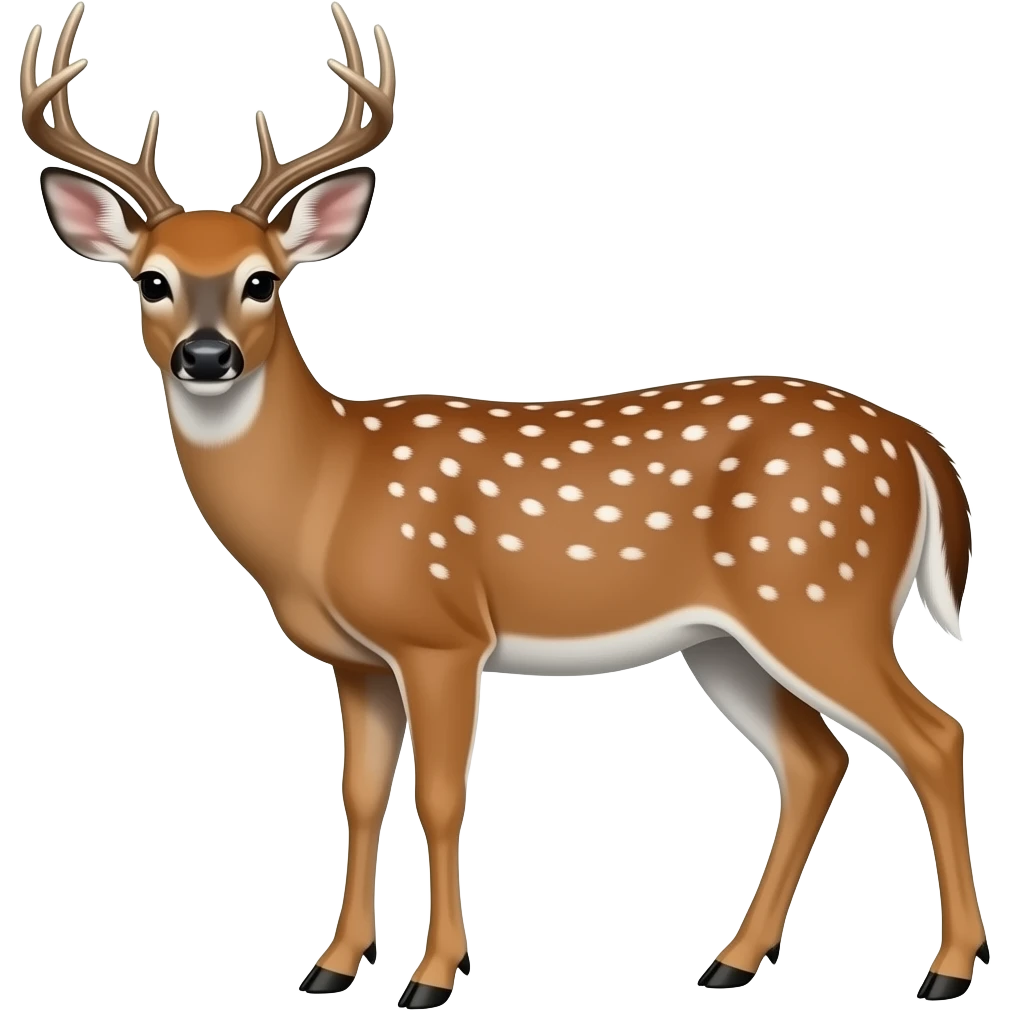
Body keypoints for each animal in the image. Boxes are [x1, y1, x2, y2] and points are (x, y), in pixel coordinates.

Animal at [20, 4, 984, 1006]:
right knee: (817, 759)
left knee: (932, 735)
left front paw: (434, 974)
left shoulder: (441, 632)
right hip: (726, 640)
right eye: (151, 280)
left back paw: (947, 968)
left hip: (821, 594)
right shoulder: (358, 663)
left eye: (263, 279)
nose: (207, 357)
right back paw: (733, 960)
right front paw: (331, 966)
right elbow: (359, 797)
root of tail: (915, 443)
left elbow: (442, 799)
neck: (327, 494)